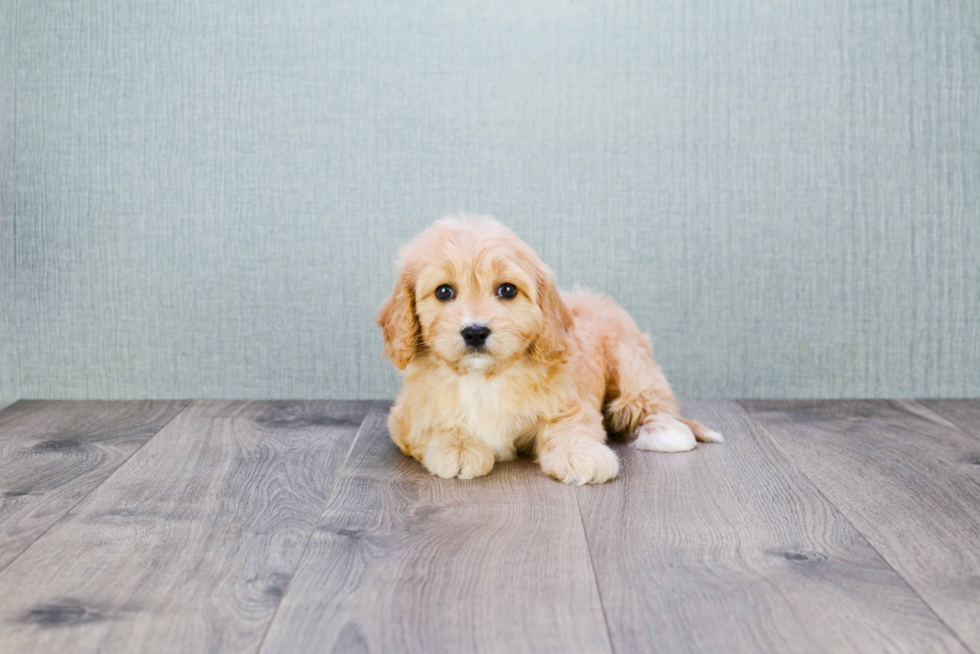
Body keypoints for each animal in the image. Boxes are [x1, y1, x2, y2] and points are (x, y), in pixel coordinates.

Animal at [378, 217, 724, 486]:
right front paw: (458, 447)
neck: (484, 377)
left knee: (651, 401)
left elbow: (569, 425)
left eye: (507, 290)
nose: (475, 332)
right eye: (444, 292)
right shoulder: (406, 416)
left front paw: (582, 454)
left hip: (631, 363)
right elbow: (434, 424)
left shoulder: (567, 400)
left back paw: (667, 431)